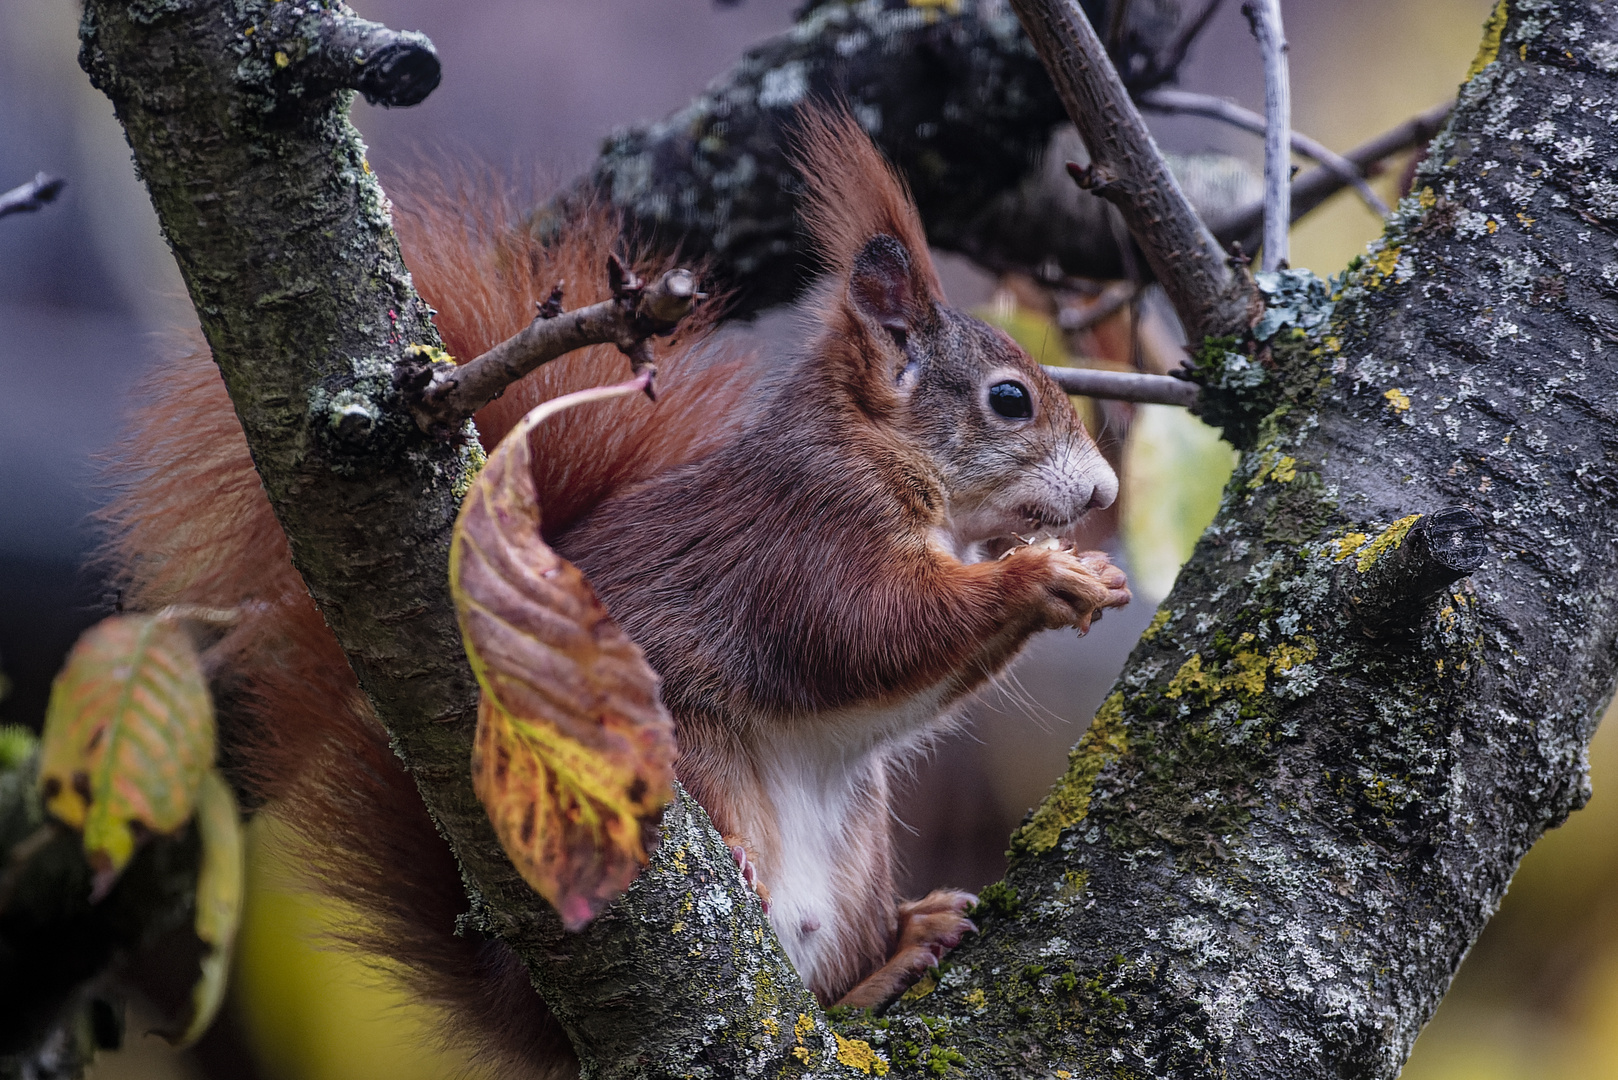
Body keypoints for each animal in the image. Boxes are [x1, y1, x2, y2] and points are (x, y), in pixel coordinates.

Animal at [107, 110, 1132, 1075]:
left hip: (857, 848)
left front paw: (1093, 577)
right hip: (692, 754)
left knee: (826, 1002)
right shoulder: (805, 539)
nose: (1104, 494)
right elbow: (869, 631)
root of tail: (527, 1004)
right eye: (1010, 401)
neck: (883, 456)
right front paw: (1039, 575)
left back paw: (903, 950)